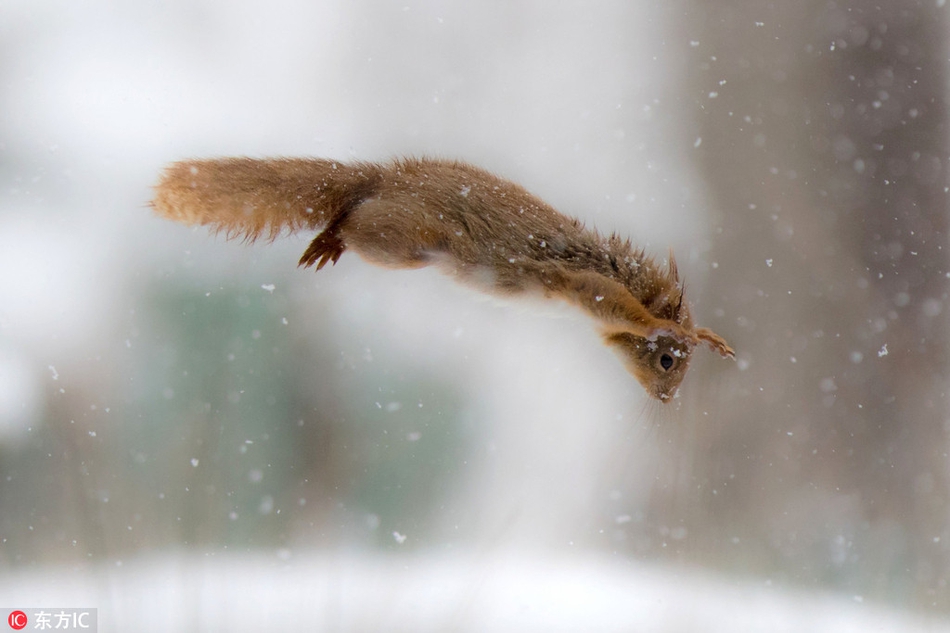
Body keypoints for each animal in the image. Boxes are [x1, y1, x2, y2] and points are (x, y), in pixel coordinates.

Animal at [151, 156, 736, 400]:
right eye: (666, 362)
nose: (665, 402)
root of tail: (383, 179)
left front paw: (706, 337)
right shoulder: (579, 283)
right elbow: (626, 310)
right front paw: (675, 329)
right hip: (402, 238)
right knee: (352, 219)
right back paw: (330, 236)